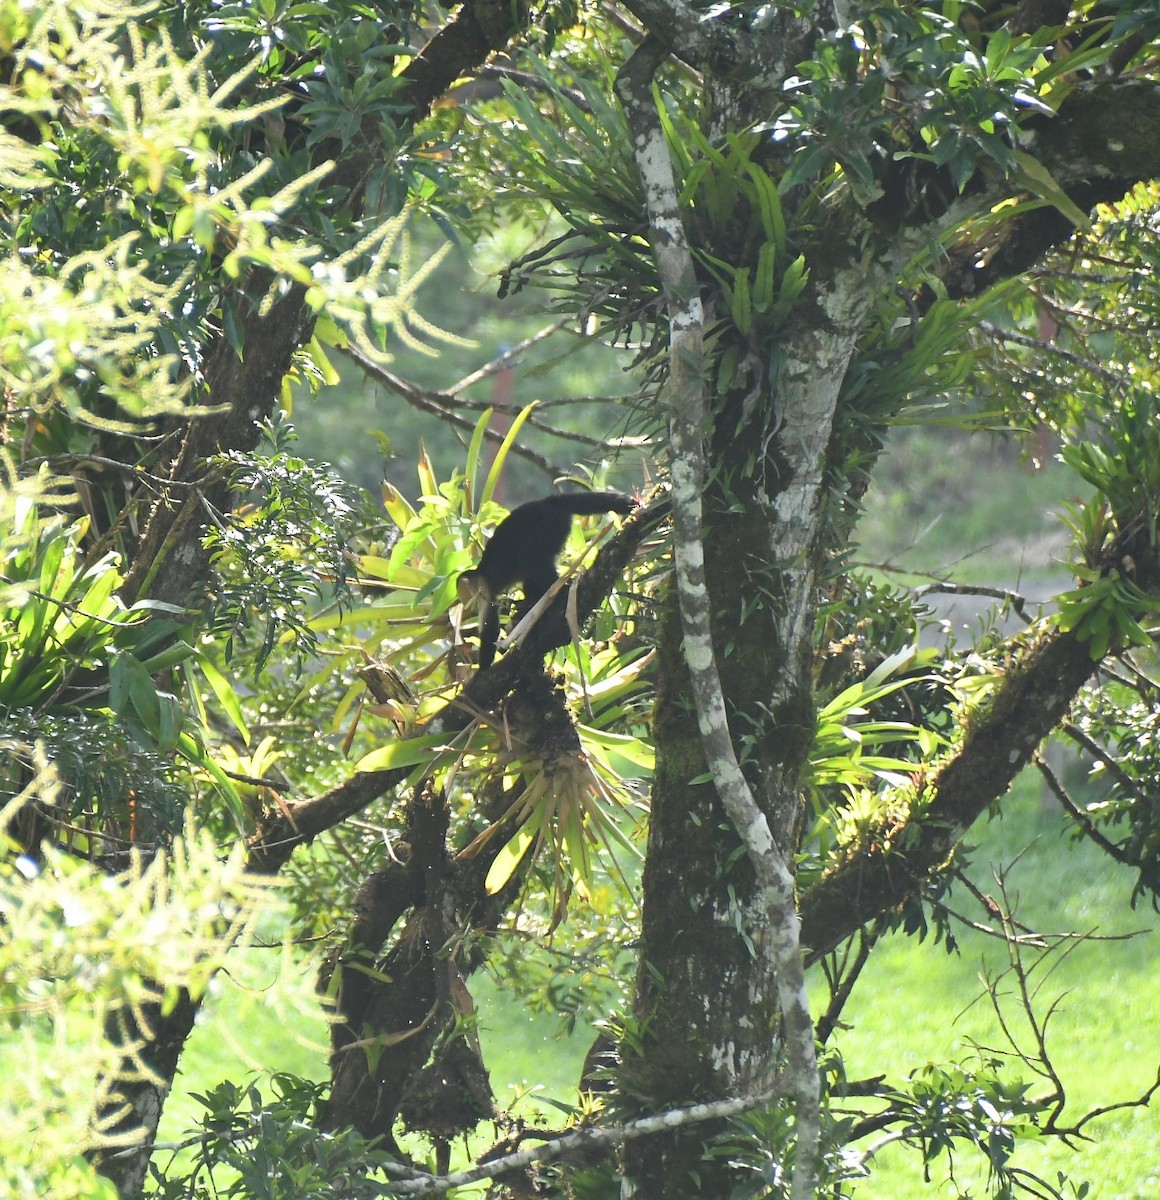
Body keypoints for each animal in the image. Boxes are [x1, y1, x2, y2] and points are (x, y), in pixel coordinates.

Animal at [457, 491, 636, 668]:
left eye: (467, 598)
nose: (469, 608)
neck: (478, 574)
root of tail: (548, 501)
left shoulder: (482, 587)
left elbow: (490, 628)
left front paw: (481, 671)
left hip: (551, 524)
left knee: (533, 559)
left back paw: (559, 590)